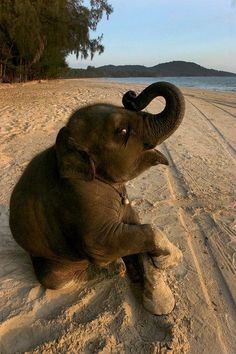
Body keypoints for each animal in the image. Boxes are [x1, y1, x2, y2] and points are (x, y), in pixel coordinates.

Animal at [10, 81, 184, 314]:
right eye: (122, 131)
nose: (130, 96)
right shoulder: (78, 197)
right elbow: (103, 243)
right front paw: (172, 261)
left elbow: (136, 226)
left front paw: (159, 296)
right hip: (47, 260)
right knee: (55, 279)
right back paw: (115, 268)